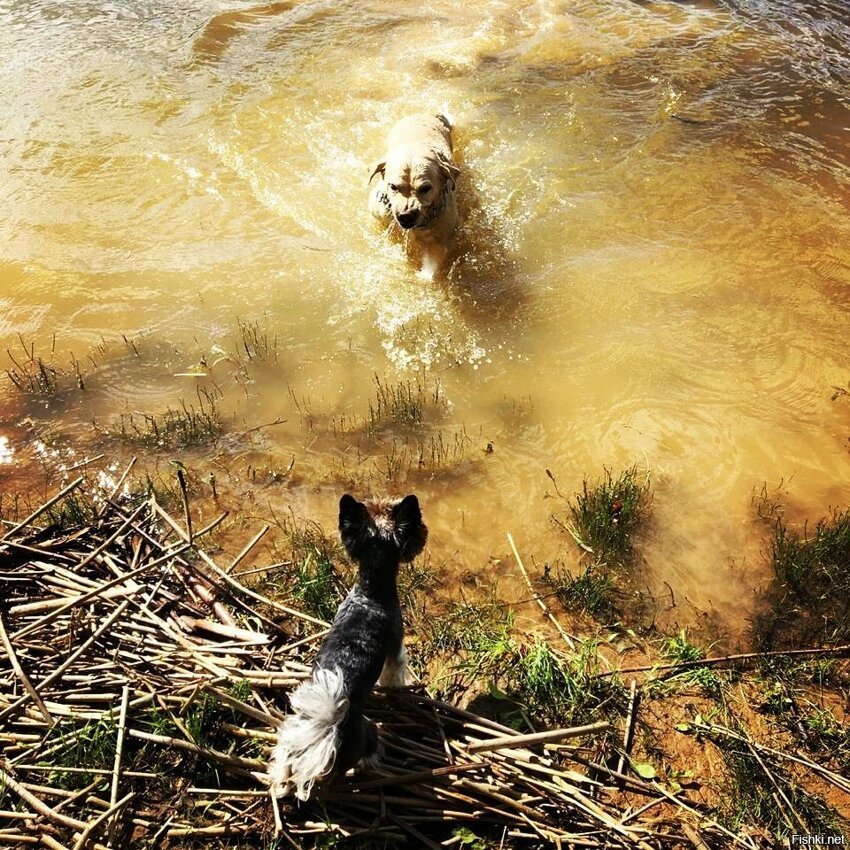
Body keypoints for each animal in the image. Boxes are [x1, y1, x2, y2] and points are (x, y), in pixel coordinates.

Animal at [266, 490, 428, 796]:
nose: (424, 530)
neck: (370, 592)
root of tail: (328, 729)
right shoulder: (396, 646)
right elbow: (395, 671)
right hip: (366, 731)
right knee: (367, 749)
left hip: (293, 734)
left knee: (284, 757)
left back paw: (279, 781)